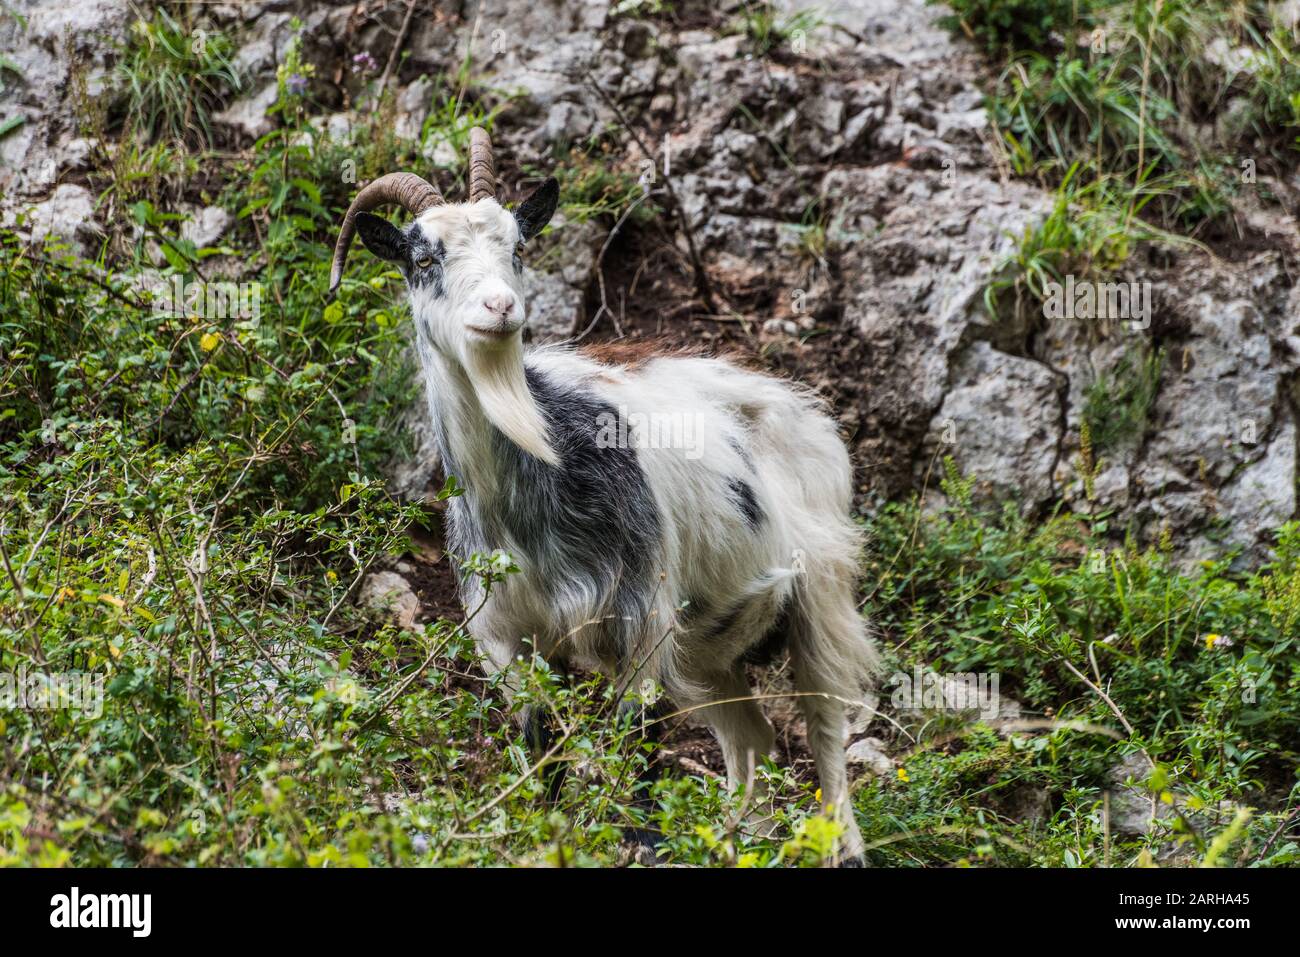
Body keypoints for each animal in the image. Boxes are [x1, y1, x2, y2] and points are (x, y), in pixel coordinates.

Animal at [330, 127, 878, 858]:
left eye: (519, 248)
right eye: (422, 258)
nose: (500, 308)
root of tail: (804, 409)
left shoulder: (639, 617)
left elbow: (634, 750)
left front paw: (642, 839)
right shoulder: (509, 638)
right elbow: (542, 751)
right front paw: (540, 831)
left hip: (821, 595)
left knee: (824, 731)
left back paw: (841, 844)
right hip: (713, 642)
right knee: (751, 739)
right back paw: (734, 841)